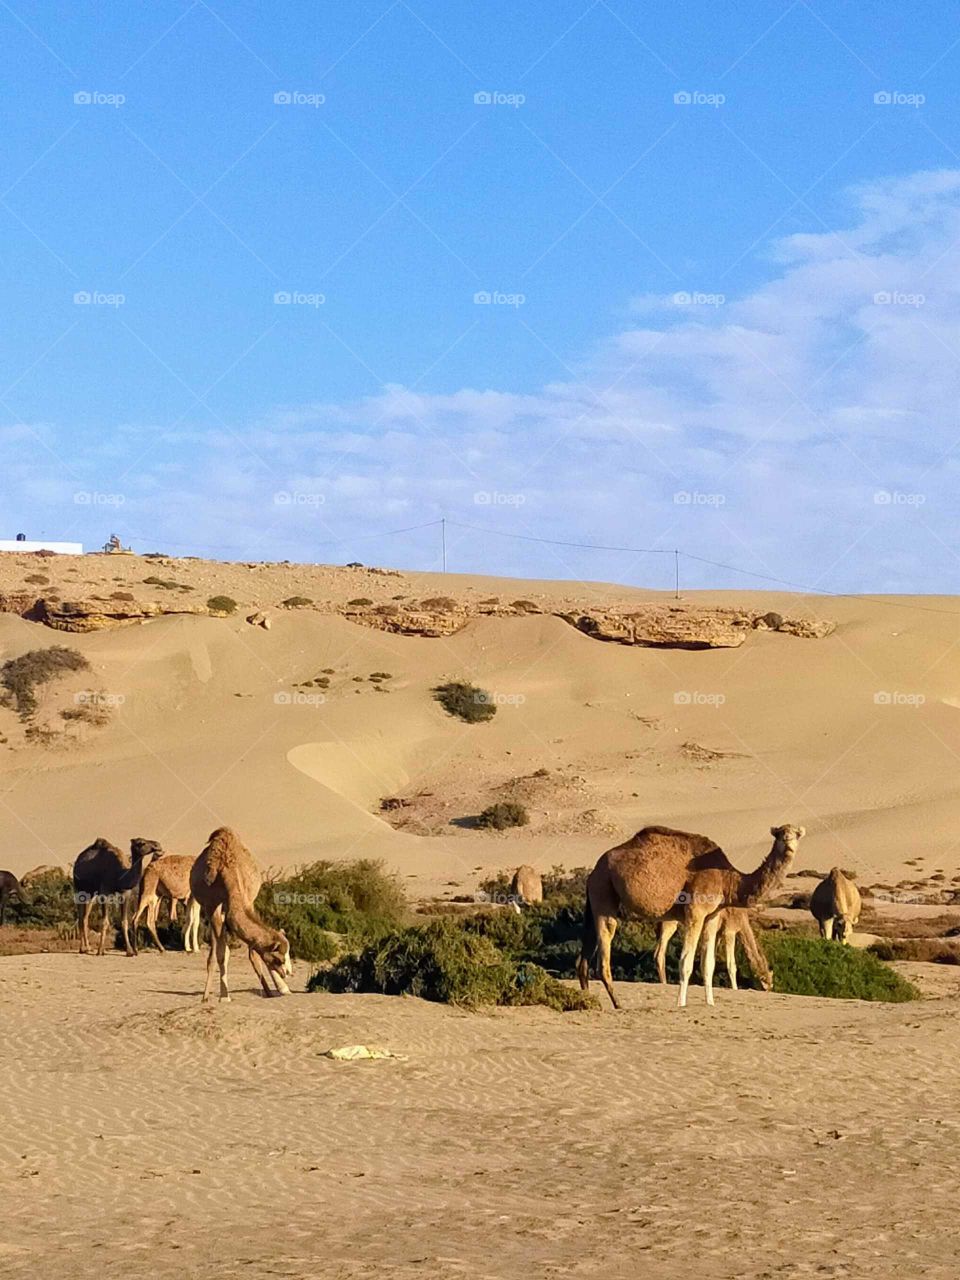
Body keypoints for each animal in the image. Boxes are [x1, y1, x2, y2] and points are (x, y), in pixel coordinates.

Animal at [189, 827, 292, 1001]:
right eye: (278, 959)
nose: (287, 973)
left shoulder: (248, 900)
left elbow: (255, 953)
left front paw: (278, 990)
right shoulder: (212, 906)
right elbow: (221, 954)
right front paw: (224, 997)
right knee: (217, 952)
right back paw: (206, 996)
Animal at [577, 823, 805, 1009]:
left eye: (796, 834)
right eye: (780, 834)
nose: (788, 842)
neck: (728, 879)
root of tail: (595, 870)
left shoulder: (713, 917)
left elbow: (708, 963)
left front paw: (710, 1003)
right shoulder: (696, 911)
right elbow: (686, 961)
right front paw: (681, 1003)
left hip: (596, 899)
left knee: (584, 958)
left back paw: (589, 1001)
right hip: (603, 893)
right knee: (603, 956)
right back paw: (618, 1004)